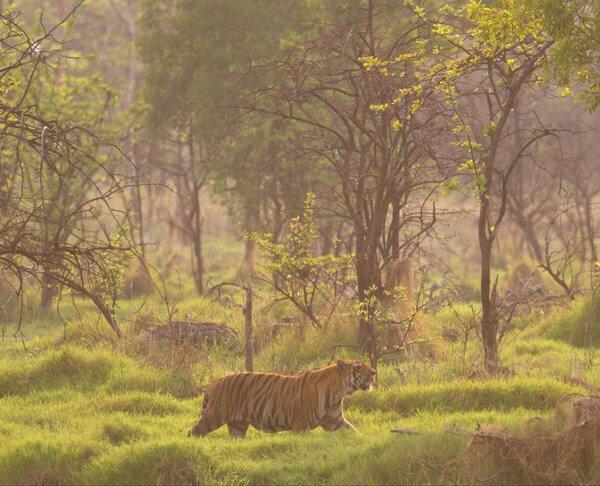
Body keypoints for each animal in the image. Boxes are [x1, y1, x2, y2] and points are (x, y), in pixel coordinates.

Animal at [189, 360, 376, 436]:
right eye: (358, 367)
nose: (374, 372)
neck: (337, 394)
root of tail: (215, 382)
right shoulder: (301, 425)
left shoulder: (336, 422)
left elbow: (354, 431)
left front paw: (366, 441)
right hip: (214, 416)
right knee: (194, 432)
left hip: (238, 426)